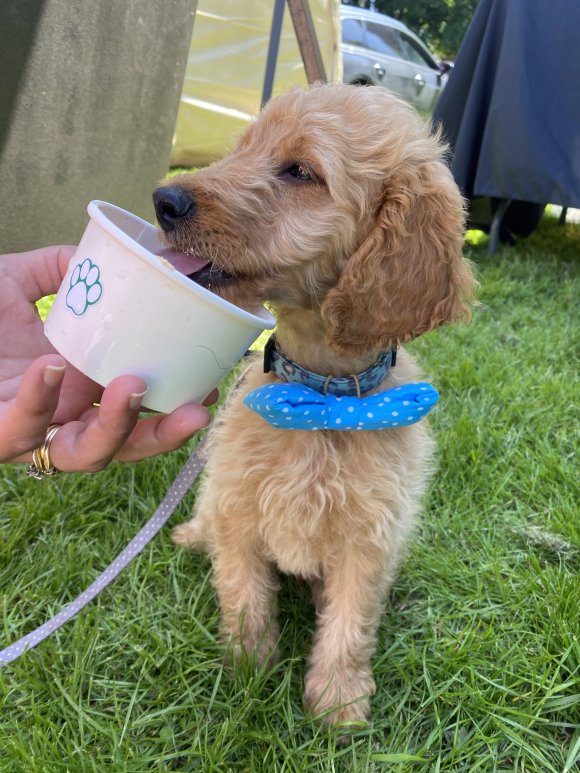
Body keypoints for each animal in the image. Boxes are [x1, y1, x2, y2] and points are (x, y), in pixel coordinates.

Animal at [154, 83, 476, 724]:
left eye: (301, 172)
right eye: (242, 149)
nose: (164, 199)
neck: (319, 399)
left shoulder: (370, 539)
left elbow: (351, 621)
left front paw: (338, 703)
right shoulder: (239, 510)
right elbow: (245, 595)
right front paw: (248, 673)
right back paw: (192, 535)